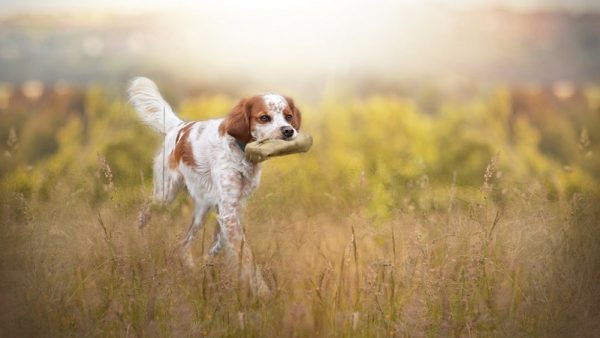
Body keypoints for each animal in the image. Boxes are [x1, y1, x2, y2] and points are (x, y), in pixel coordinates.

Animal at [129, 76, 302, 294]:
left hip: (203, 208)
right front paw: (262, 291)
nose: (288, 130)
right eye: (264, 117)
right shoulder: (228, 211)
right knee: (145, 211)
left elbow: (222, 246)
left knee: (184, 244)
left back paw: (192, 271)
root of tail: (179, 127)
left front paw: (212, 268)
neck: (242, 153)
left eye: (288, 116)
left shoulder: (234, 207)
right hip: (165, 193)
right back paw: (139, 236)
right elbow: (246, 255)